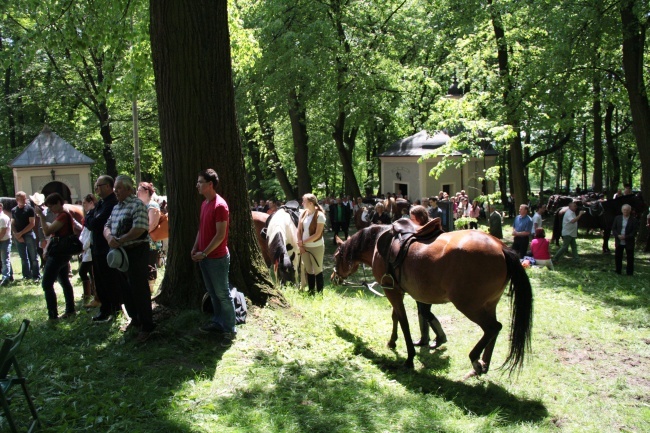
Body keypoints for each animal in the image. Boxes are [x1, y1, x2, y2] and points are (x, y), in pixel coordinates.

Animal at [334, 224, 532, 376]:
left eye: (336, 256)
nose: (334, 277)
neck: (377, 244)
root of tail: (501, 248)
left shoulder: (392, 292)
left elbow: (404, 321)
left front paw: (409, 358)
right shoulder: (397, 290)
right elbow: (396, 317)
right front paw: (392, 342)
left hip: (469, 305)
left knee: (493, 327)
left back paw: (475, 360)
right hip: (490, 304)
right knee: (493, 331)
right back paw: (483, 364)